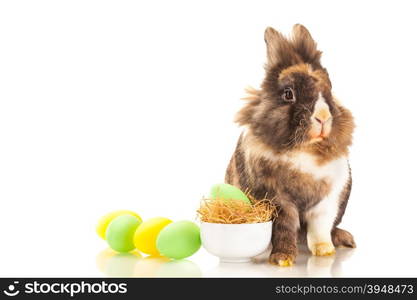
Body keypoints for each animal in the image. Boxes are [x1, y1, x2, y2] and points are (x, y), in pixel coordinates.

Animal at [224, 24, 354, 266]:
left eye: (329, 90)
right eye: (288, 94)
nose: (323, 118)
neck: (305, 149)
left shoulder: (329, 199)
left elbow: (320, 227)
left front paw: (325, 251)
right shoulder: (277, 198)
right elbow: (284, 226)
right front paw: (282, 259)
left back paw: (345, 239)